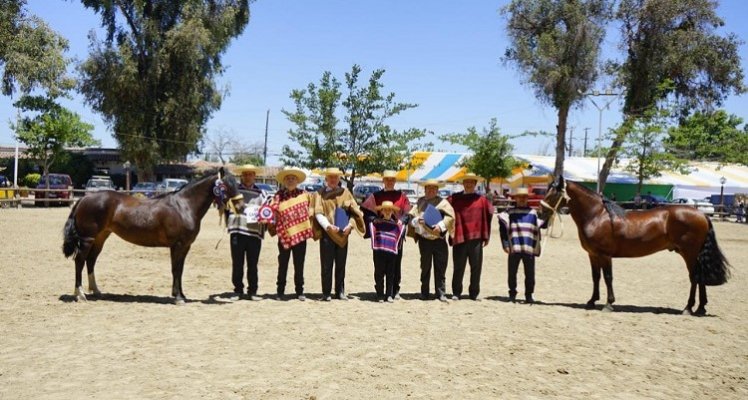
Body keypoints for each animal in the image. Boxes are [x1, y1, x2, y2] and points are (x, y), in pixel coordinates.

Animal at [64, 168, 241, 304]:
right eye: (227, 185)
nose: (240, 205)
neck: (183, 206)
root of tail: (83, 198)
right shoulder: (177, 245)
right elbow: (176, 269)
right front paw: (178, 297)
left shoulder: (185, 246)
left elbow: (180, 270)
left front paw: (181, 294)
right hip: (87, 239)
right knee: (80, 261)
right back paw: (80, 295)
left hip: (100, 238)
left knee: (91, 260)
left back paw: (96, 291)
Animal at [540, 175, 728, 316]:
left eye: (553, 193)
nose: (541, 212)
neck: (597, 215)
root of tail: (702, 214)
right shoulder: (593, 254)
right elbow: (596, 277)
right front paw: (592, 301)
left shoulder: (605, 255)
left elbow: (608, 277)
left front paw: (608, 304)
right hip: (695, 255)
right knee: (700, 277)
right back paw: (701, 308)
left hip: (689, 253)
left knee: (694, 277)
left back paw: (688, 308)